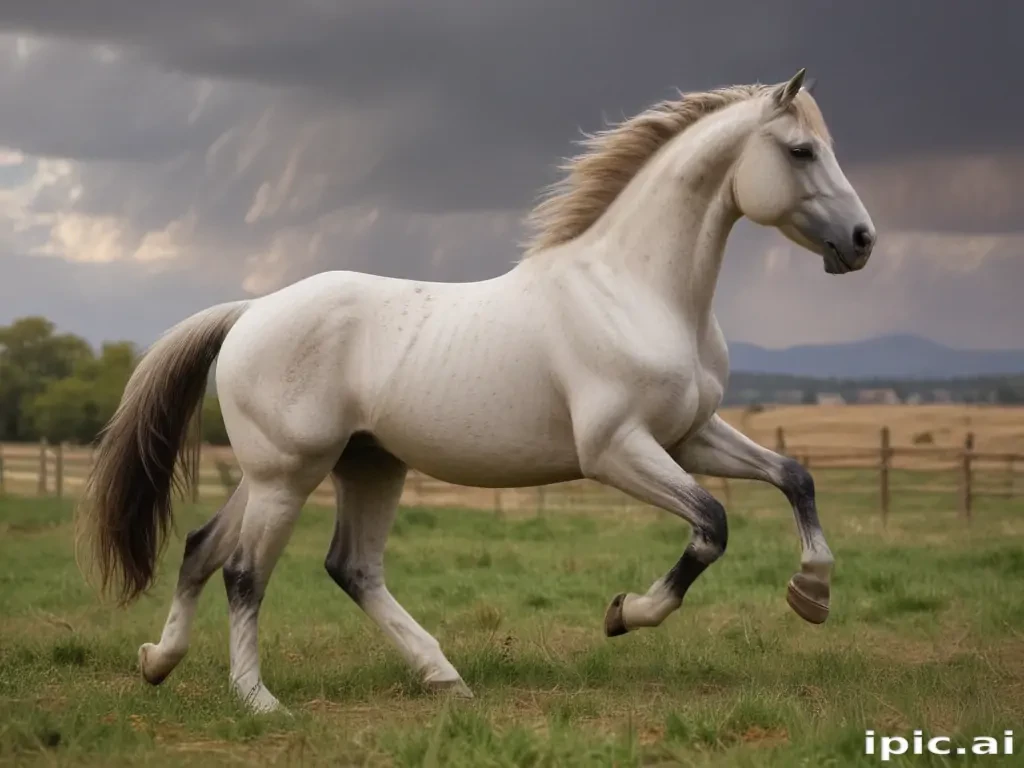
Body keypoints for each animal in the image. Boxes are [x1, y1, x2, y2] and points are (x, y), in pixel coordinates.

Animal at [78, 69, 875, 713]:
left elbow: (795, 477)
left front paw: (812, 595)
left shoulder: (689, 434)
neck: (636, 290)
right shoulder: (617, 450)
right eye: (800, 151)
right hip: (288, 474)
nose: (863, 240)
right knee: (245, 571)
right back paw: (258, 700)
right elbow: (711, 524)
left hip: (354, 464)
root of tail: (251, 311)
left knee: (269, 557)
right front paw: (625, 613)